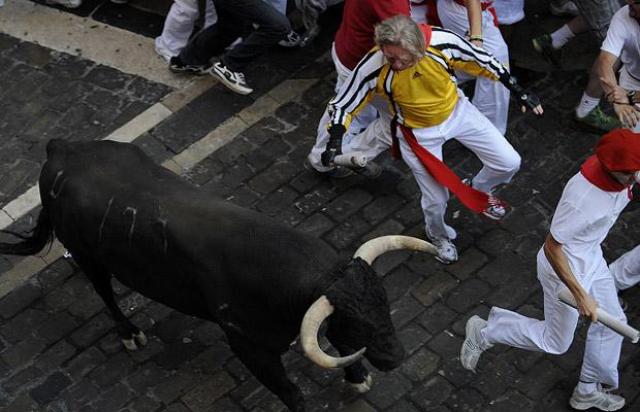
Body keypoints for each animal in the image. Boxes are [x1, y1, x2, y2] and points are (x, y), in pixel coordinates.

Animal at [1, 140, 436, 410]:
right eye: (355, 321)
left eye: (383, 303)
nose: (395, 357)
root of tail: (62, 149)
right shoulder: (249, 348)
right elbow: (292, 391)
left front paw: (358, 376)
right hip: (92, 257)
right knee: (104, 292)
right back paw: (129, 333)